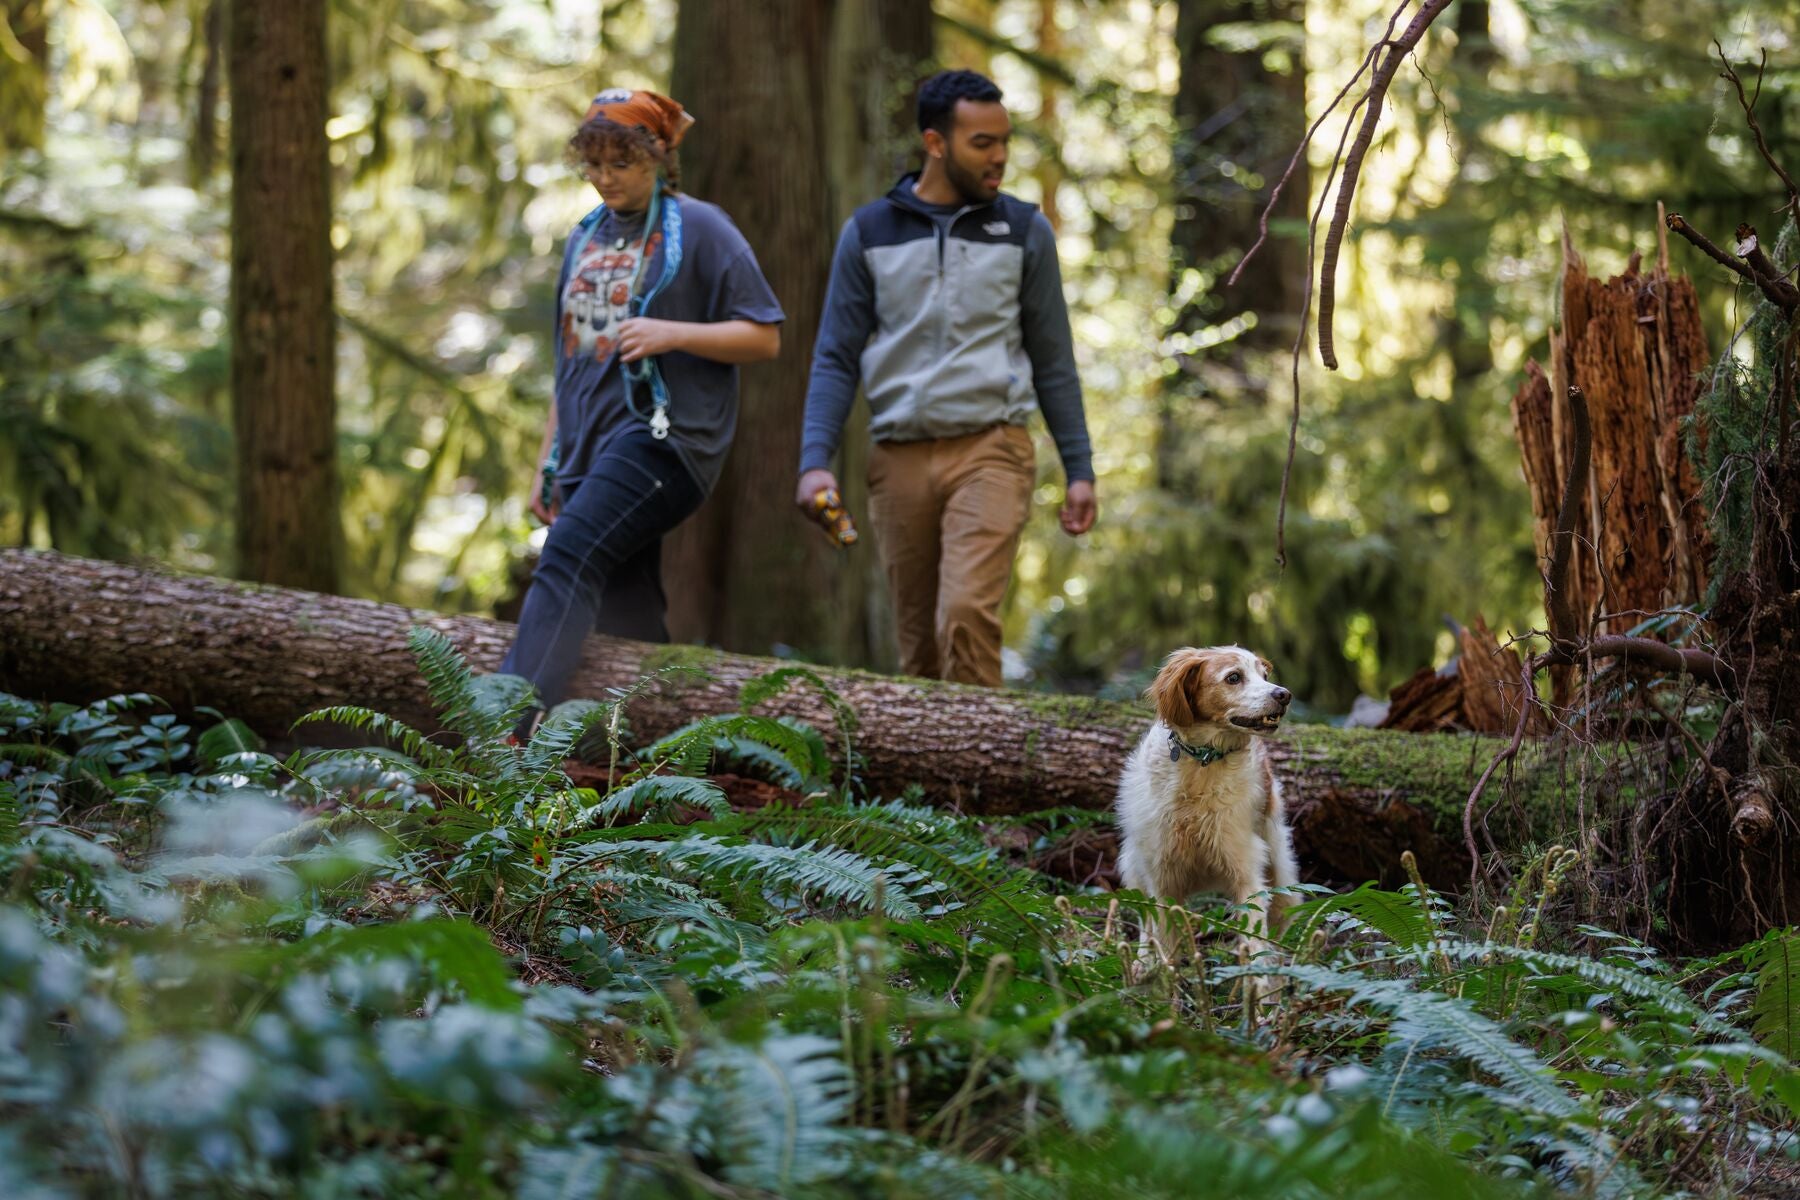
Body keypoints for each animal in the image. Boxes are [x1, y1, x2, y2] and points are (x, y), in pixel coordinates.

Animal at [1116, 644, 1303, 971]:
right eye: (1234, 677)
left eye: (1264, 676)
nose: (1284, 694)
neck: (1204, 761)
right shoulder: (1163, 878)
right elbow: (1164, 943)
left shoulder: (1246, 869)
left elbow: (1256, 947)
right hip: (1134, 866)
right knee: (1145, 925)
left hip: (1280, 871)